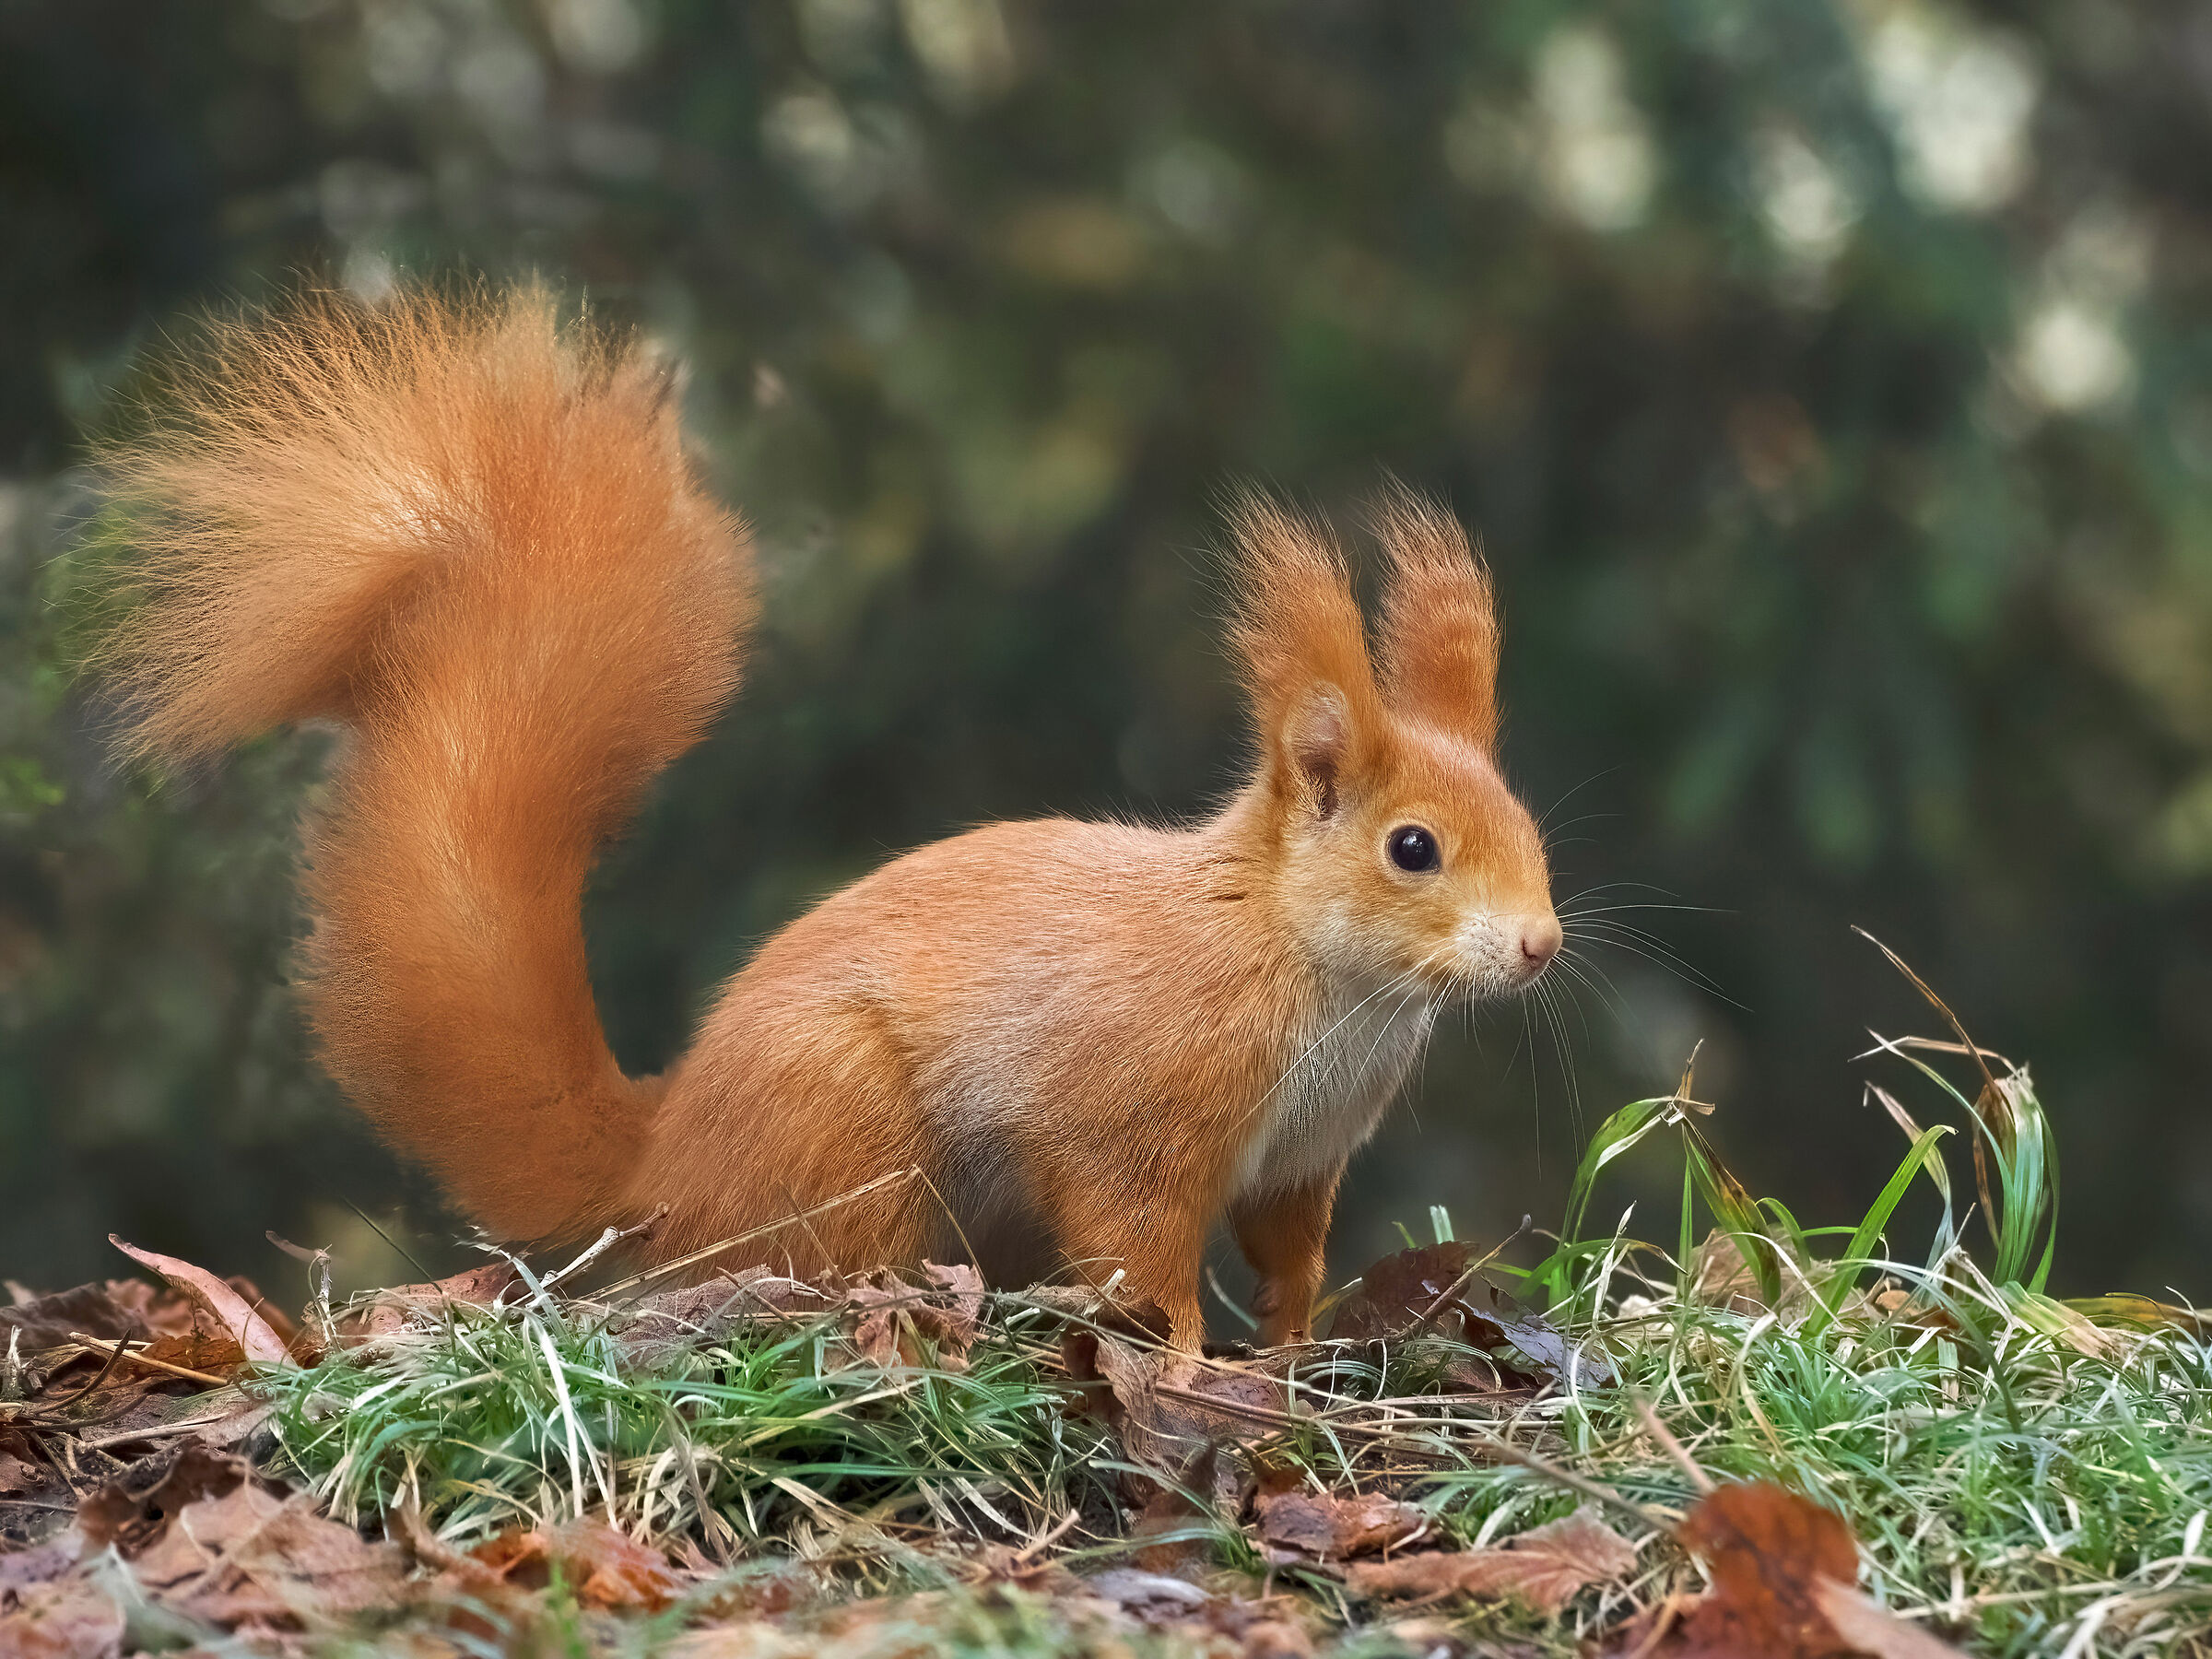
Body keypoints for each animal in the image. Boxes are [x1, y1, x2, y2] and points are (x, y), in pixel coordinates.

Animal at [92, 284, 1561, 1349]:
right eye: (1412, 848)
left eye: (1528, 825)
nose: (1543, 945)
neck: (1315, 976)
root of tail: (666, 1169)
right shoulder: (1135, 1115)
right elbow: (1140, 1248)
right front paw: (1193, 1367)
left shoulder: (1298, 1162)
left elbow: (1291, 1260)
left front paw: (1300, 1356)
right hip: (851, 1129)